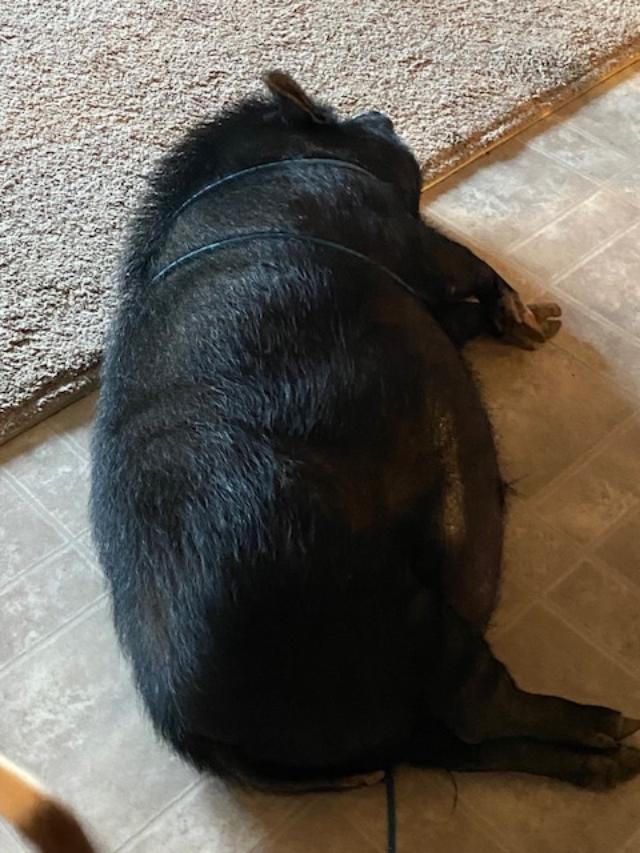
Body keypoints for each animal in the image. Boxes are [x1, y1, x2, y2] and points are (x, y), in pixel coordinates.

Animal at [91, 71, 640, 793]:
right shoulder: (406, 236)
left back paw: (612, 760)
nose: (378, 111)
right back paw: (617, 726)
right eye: (338, 119)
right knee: (477, 706)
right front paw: (538, 322)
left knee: (464, 743)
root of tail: (190, 726)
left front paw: (535, 321)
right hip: (383, 605)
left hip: (391, 718)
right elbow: (473, 269)